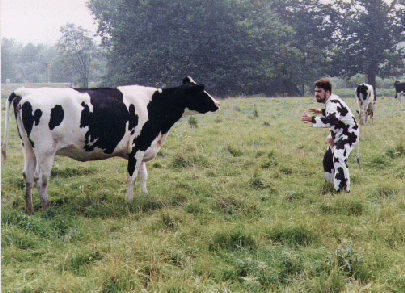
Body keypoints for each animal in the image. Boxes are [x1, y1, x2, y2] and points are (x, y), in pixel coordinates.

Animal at [2, 75, 218, 213]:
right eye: (202, 92)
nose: (216, 104)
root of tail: (24, 92)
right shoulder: (138, 148)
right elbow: (132, 176)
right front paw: (129, 201)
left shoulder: (144, 147)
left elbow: (143, 175)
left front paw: (145, 197)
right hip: (45, 150)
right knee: (41, 178)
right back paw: (47, 209)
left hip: (27, 147)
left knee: (27, 175)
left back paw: (30, 209)